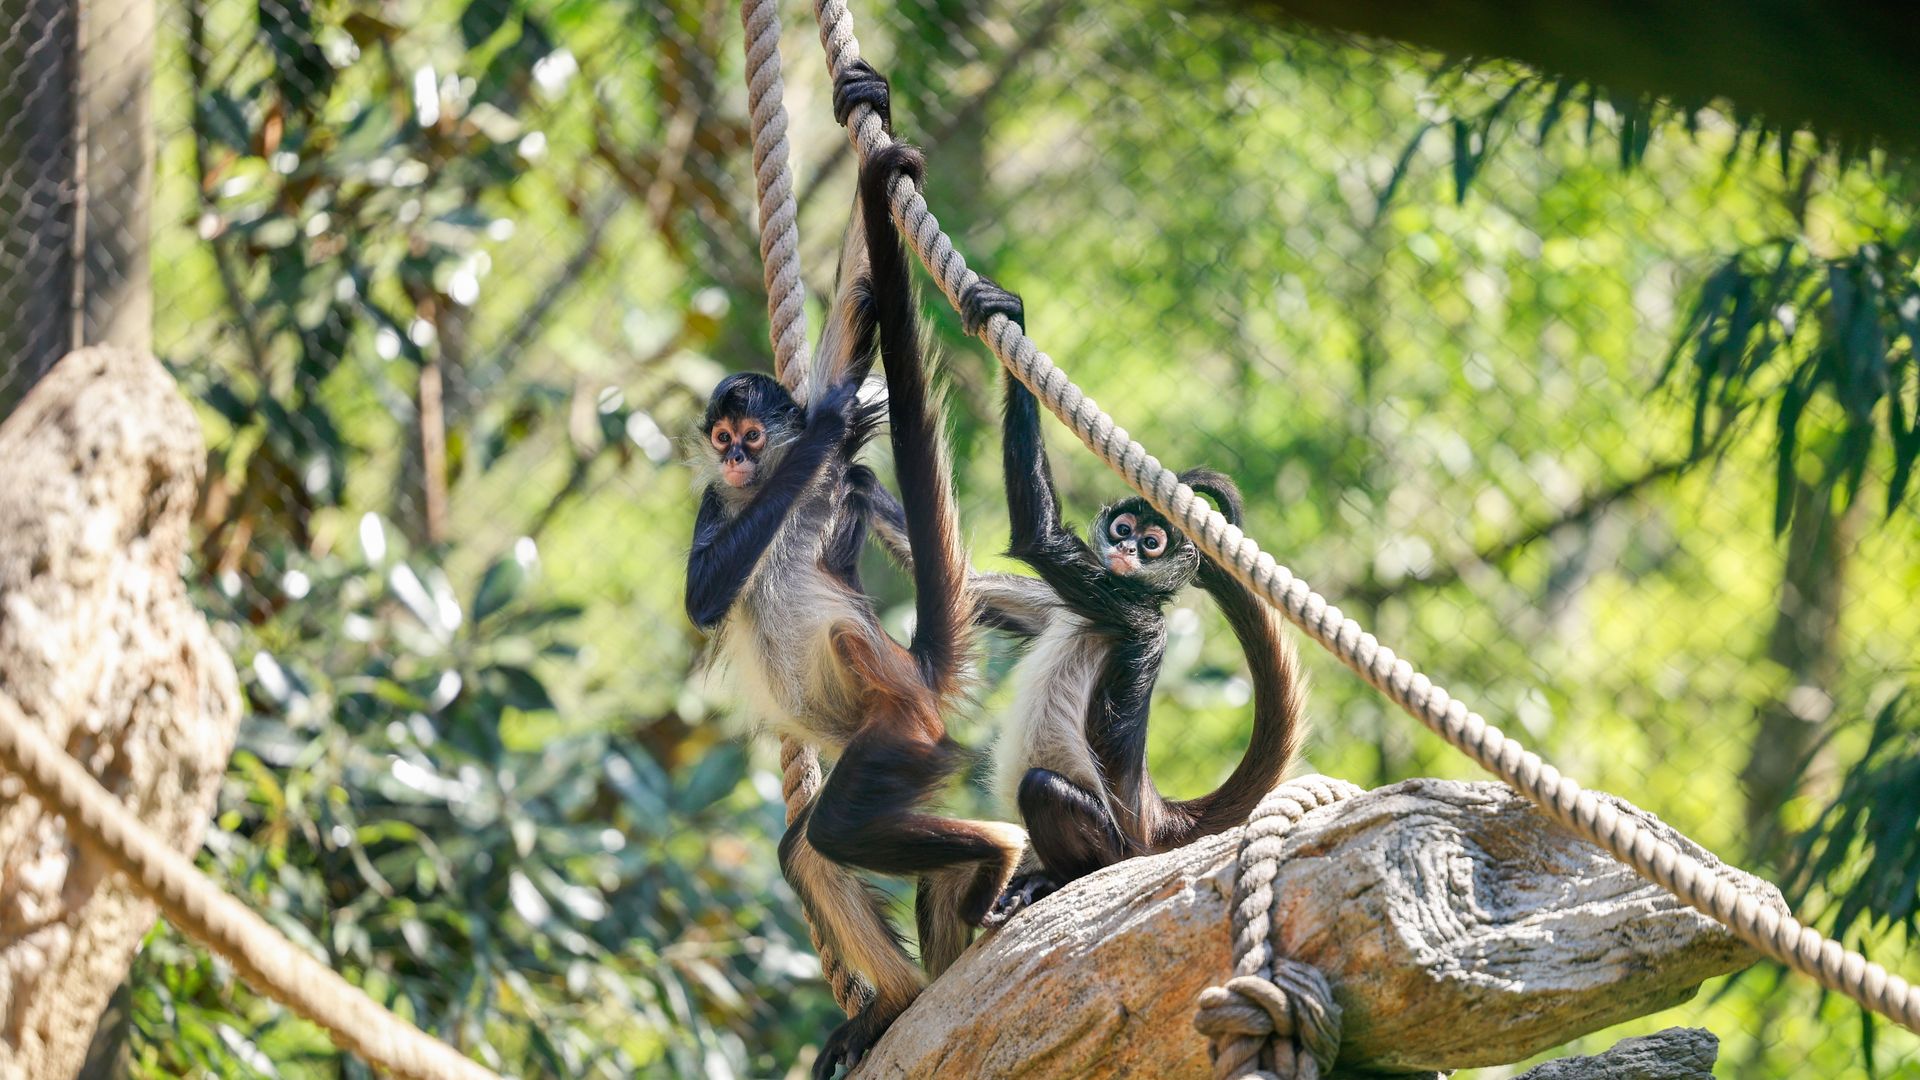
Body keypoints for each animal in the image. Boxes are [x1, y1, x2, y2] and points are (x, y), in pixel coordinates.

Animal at [684, 63, 1024, 1078]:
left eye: (752, 436)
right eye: (722, 441)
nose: (739, 459)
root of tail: (914, 677)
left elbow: (853, 318)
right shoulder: (719, 505)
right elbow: (705, 596)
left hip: (892, 734)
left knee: (834, 828)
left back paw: (994, 855)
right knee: (808, 847)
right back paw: (897, 1003)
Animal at [948, 279, 1309, 921]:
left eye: (1151, 542)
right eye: (1123, 530)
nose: (1126, 552)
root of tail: (1152, 817)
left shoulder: (1125, 611)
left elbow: (1038, 537)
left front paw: (1011, 313)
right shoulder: (1070, 605)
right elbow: (971, 589)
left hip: (1111, 842)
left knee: (1042, 787)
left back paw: (1053, 880)